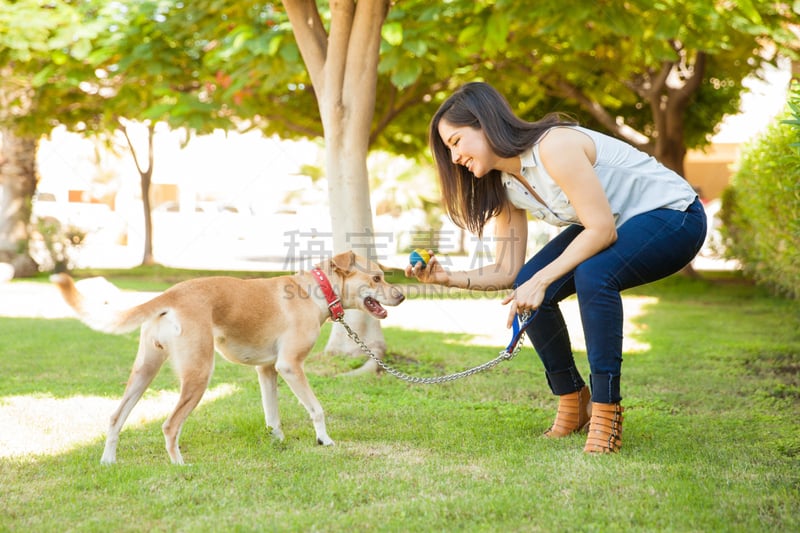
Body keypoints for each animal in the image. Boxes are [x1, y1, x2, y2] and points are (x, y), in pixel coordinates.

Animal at [50, 251, 404, 464]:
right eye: (377, 278)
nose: (401, 295)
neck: (317, 290)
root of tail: (171, 294)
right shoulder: (291, 366)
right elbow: (316, 409)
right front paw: (324, 441)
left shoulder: (268, 370)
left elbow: (272, 414)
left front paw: (277, 441)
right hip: (198, 373)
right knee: (169, 425)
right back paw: (179, 465)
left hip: (144, 370)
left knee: (115, 417)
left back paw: (108, 460)